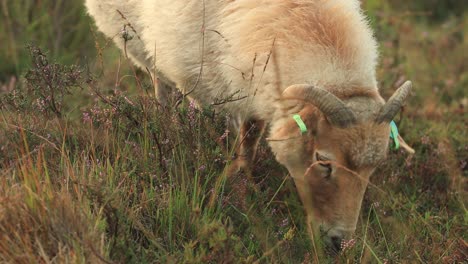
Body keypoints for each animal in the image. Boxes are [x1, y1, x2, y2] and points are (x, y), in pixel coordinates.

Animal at [87, 0, 414, 252]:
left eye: (373, 169)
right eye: (323, 160)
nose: (339, 243)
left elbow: (252, 131)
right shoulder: (226, 79)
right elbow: (236, 134)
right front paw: (236, 177)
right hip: (140, 38)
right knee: (159, 81)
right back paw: (166, 125)